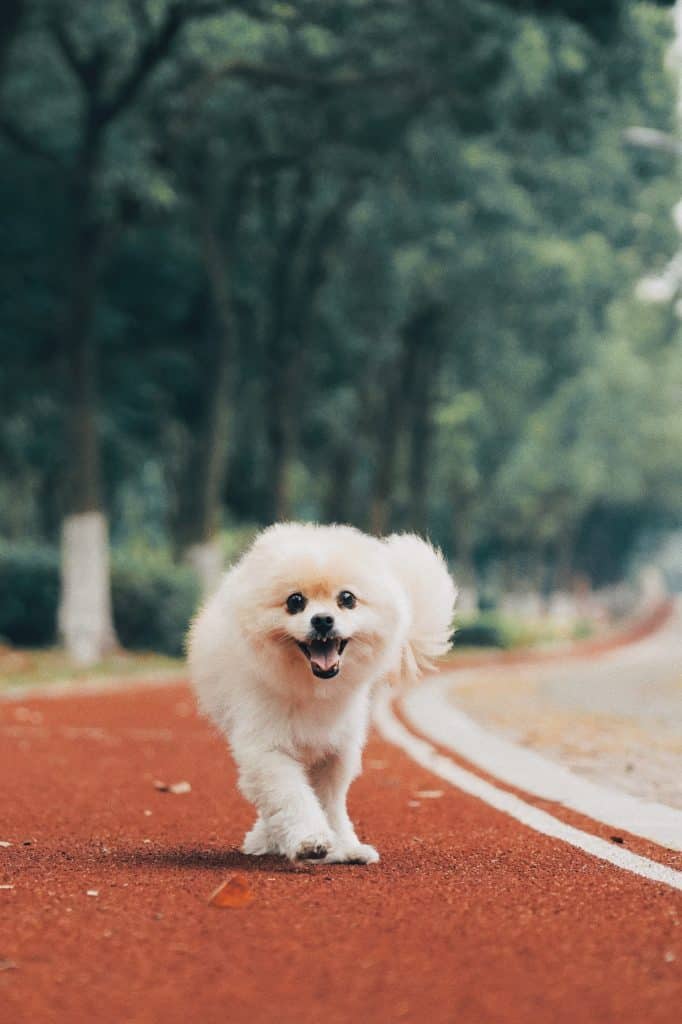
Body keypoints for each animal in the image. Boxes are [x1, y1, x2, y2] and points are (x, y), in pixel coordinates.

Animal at [186, 524, 454, 868]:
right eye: (295, 601)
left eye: (347, 598)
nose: (323, 619)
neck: (313, 690)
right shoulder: (268, 749)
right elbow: (292, 796)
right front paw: (310, 840)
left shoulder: (335, 752)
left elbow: (330, 804)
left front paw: (342, 847)